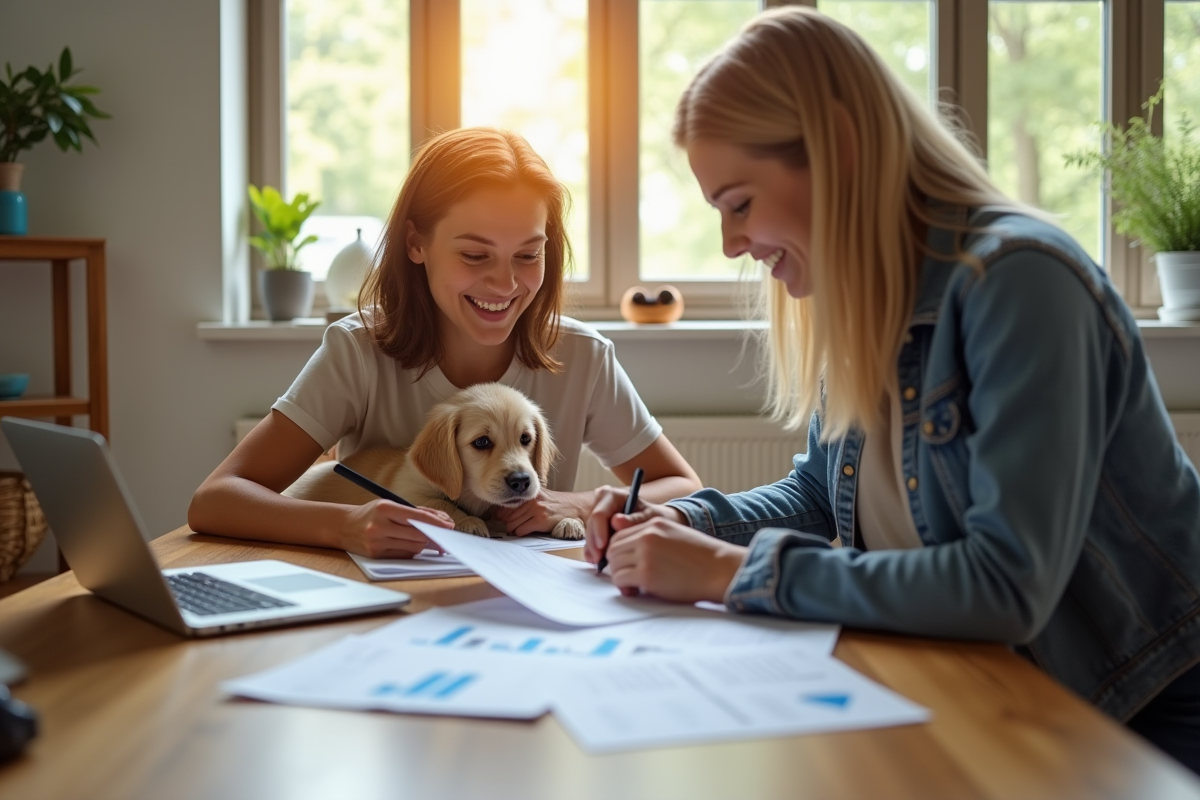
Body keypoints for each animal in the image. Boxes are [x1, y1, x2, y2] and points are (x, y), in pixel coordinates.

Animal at [280, 381, 580, 537]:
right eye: (481, 442)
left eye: (525, 439)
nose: (521, 481)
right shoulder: (408, 491)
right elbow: (441, 504)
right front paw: (471, 522)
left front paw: (568, 520)